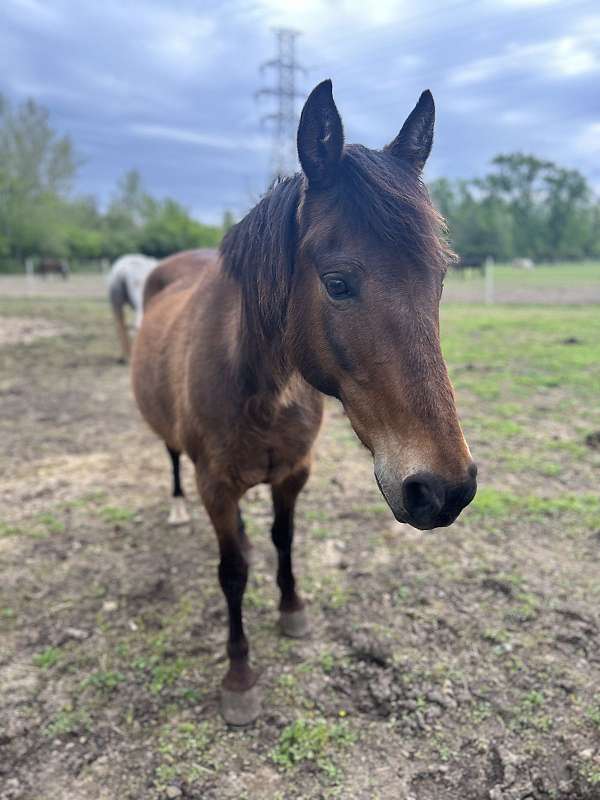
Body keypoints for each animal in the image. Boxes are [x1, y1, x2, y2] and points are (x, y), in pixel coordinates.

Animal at [132, 79, 478, 724]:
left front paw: (292, 610)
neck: (259, 390)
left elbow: (282, 541)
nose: (445, 489)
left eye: (440, 277)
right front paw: (239, 677)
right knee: (171, 460)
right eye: (337, 283)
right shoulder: (216, 485)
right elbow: (233, 573)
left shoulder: (294, 473)